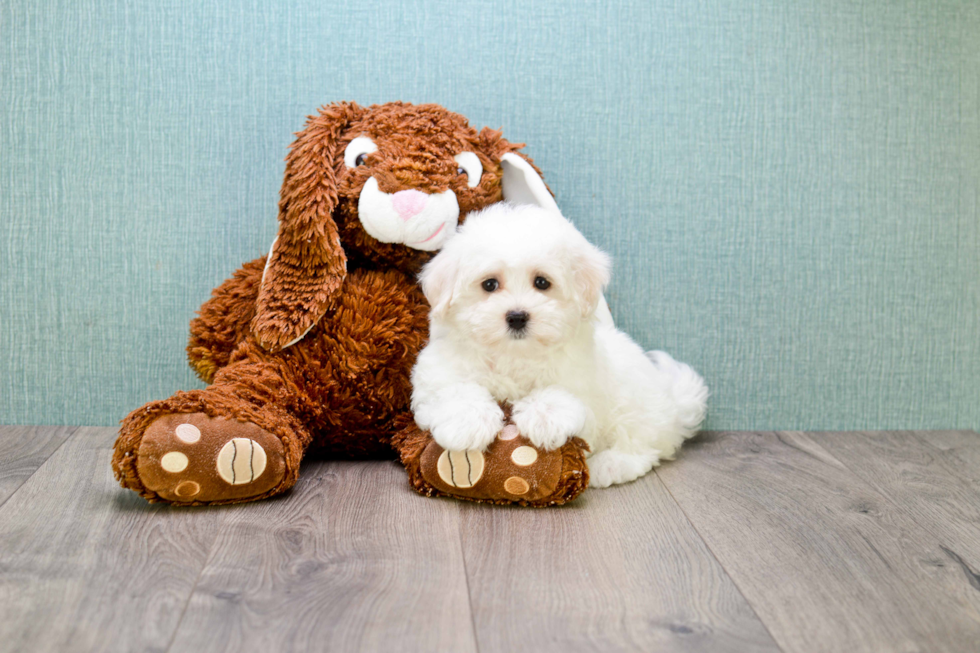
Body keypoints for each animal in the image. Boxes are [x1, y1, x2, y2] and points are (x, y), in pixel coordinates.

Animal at [410, 205, 708, 488]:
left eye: (542, 282)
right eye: (489, 284)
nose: (517, 316)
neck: (514, 355)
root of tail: (674, 403)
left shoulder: (585, 384)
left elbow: (562, 394)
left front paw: (544, 417)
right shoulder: (437, 372)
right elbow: (454, 389)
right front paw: (466, 423)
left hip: (635, 401)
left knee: (642, 446)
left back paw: (610, 465)